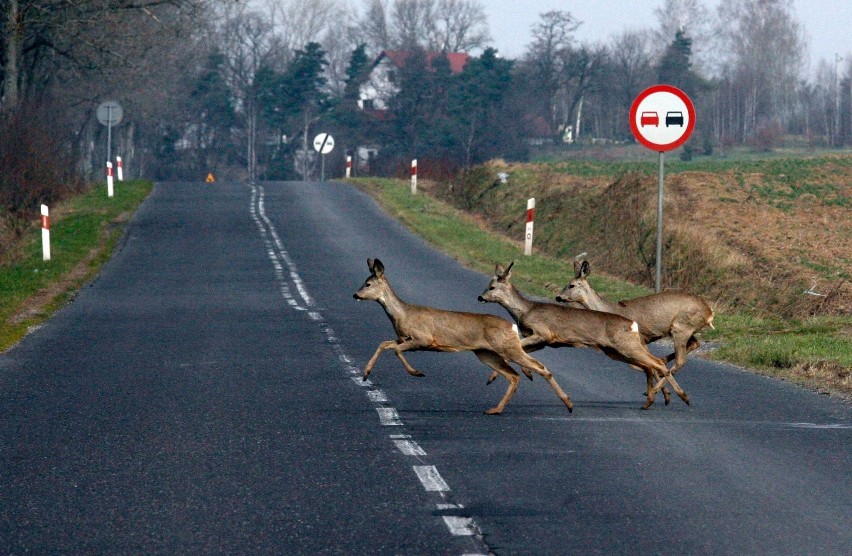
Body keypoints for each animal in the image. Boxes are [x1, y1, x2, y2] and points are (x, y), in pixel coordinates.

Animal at [350, 258, 576, 414]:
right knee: (513, 375)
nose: (355, 294)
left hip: (507, 348)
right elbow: (384, 344)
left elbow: (396, 350)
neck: (402, 314)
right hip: (487, 353)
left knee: (539, 368)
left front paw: (417, 372)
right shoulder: (403, 338)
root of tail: (511, 326)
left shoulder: (423, 338)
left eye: (368, 284)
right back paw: (495, 409)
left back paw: (569, 404)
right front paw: (366, 374)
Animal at [476, 260, 688, 408]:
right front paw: (507, 375)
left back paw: (682, 397)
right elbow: (518, 351)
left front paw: (517, 374)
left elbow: (515, 348)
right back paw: (653, 400)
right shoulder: (542, 341)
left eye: (492, 287)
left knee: (657, 362)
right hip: (615, 351)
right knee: (648, 365)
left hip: (626, 345)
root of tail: (631, 324)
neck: (526, 310)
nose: (480, 297)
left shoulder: (543, 333)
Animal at [556, 258, 716, 380]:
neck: (610, 310)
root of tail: (709, 312)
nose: (558, 297)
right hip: (686, 328)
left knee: (680, 360)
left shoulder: (640, 338)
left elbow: (638, 364)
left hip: (681, 327)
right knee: (694, 344)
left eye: (571, 285)